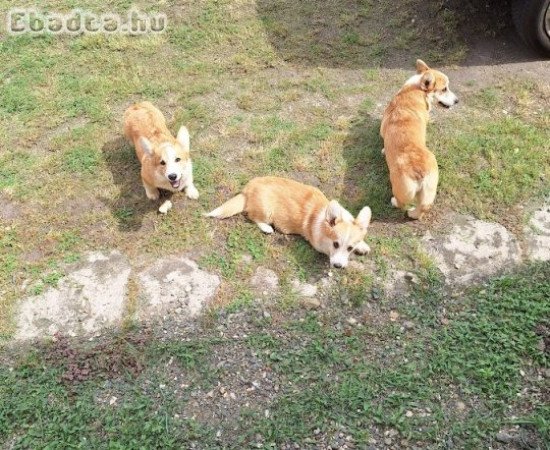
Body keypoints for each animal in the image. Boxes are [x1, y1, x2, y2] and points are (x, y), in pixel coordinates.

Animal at [208, 175, 376, 268]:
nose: (338, 266)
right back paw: (267, 228)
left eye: (350, 248)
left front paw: (362, 246)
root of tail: (246, 190)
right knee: (253, 217)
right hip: (266, 211)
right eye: (335, 244)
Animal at [382, 59, 460, 221]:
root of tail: (419, 171)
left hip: (399, 187)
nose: (457, 101)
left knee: (401, 203)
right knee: (424, 207)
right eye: (444, 89)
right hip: (430, 189)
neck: (417, 89)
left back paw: (394, 202)